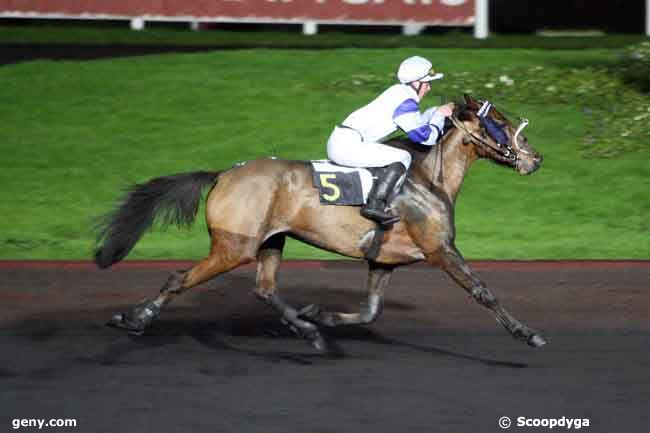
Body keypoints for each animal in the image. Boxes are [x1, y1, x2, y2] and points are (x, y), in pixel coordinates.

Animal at [93, 94, 544, 352]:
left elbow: (371, 311)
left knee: (264, 289)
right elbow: (483, 292)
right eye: (500, 122)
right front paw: (526, 333)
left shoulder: (384, 260)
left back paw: (307, 328)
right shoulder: (440, 249)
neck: (426, 178)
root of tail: (224, 173)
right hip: (233, 246)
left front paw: (321, 315)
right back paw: (135, 319)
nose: (535, 158)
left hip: (270, 241)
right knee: (179, 278)